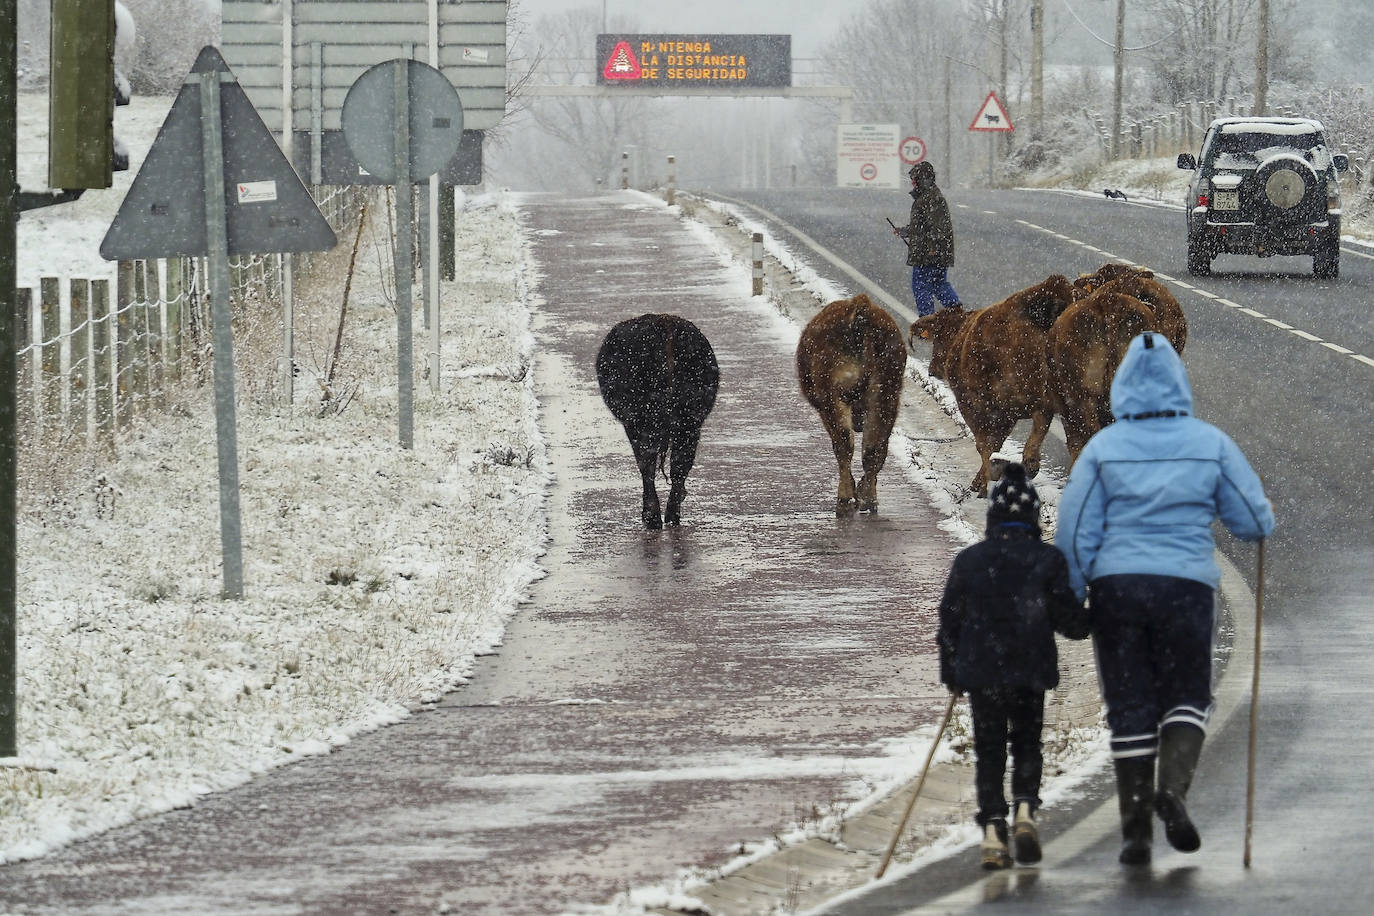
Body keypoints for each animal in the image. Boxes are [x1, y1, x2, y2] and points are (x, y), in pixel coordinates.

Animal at [593, 315, 719, 530]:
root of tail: (665, 324)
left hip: (643, 420)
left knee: (648, 462)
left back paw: (652, 517)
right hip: (690, 422)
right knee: (680, 464)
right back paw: (672, 515)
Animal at [802, 293, 906, 513]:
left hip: (834, 401)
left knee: (844, 445)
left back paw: (845, 498)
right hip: (886, 399)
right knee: (874, 448)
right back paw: (869, 498)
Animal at [906, 276, 1077, 497]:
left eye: (939, 337)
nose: (933, 369)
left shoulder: (975, 405)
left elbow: (985, 443)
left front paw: (982, 484)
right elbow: (995, 441)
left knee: (1045, 421)